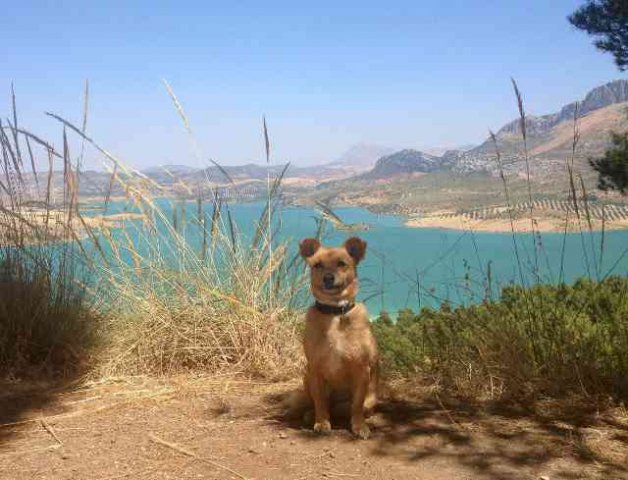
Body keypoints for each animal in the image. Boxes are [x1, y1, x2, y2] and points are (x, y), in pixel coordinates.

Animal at [300, 236, 378, 438]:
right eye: (317, 265)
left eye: (342, 264)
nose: (328, 277)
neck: (335, 313)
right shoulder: (315, 371)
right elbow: (320, 402)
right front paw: (322, 422)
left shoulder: (361, 370)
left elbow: (356, 405)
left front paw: (359, 426)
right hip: (306, 378)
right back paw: (311, 414)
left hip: (371, 396)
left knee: (359, 408)